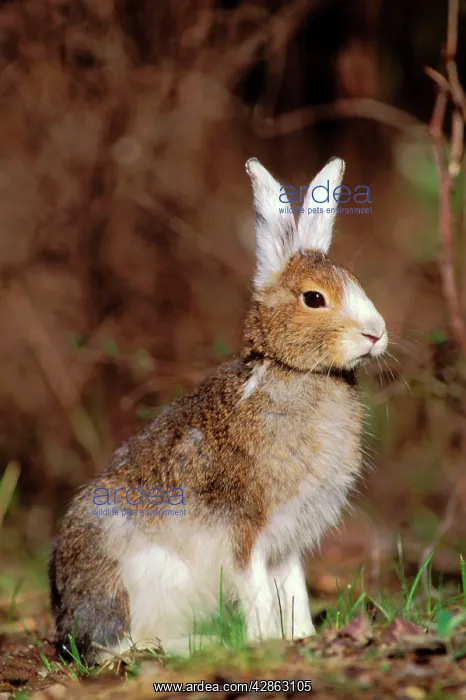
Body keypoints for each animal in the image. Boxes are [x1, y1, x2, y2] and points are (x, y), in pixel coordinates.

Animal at [49, 156, 388, 664]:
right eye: (314, 298)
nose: (376, 333)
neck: (291, 369)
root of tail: (68, 617)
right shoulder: (246, 531)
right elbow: (257, 591)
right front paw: (264, 642)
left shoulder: (288, 541)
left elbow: (293, 590)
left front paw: (302, 637)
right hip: (130, 576)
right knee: (120, 645)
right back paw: (202, 644)